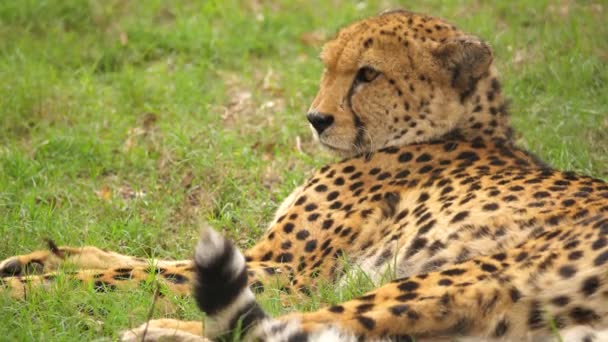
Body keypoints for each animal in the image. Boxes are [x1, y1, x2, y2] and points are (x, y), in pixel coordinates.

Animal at [1, 9, 608, 340]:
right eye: (328, 67)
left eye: (368, 74)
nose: (316, 119)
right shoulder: (257, 257)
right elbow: (133, 260)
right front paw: (32, 260)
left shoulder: (290, 270)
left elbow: (135, 274)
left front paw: (29, 290)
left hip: (471, 276)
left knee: (287, 327)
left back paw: (150, 332)